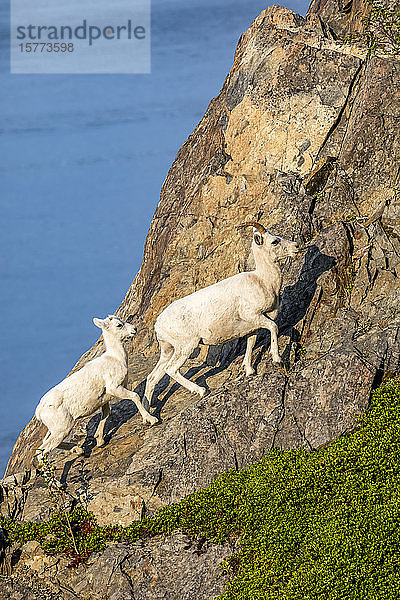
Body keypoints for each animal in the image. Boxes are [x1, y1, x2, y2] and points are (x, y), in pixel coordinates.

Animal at [35, 314, 158, 454]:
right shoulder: (114, 388)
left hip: (55, 429)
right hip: (63, 427)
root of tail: (39, 410)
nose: (134, 329)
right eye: (119, 325)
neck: (116, 358)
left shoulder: (104, 399)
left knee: (44, 444)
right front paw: (151, 419)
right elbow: (135, 396)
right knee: (44, 450)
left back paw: (78, 450)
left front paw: (100, 441)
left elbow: (106, 414)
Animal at [145, 223, 298, 406]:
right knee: (171, 370)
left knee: (152, 378)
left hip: (168, 349)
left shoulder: (252, 327)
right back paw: (201, 390)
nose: (296, 246)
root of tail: (158, 324)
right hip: (186, 346)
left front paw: (249, 371)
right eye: (275, 241)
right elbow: (274, 327)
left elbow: (251, 343)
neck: (263, 281)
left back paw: (149, 414)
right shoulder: (254, 316)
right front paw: (277, 358)